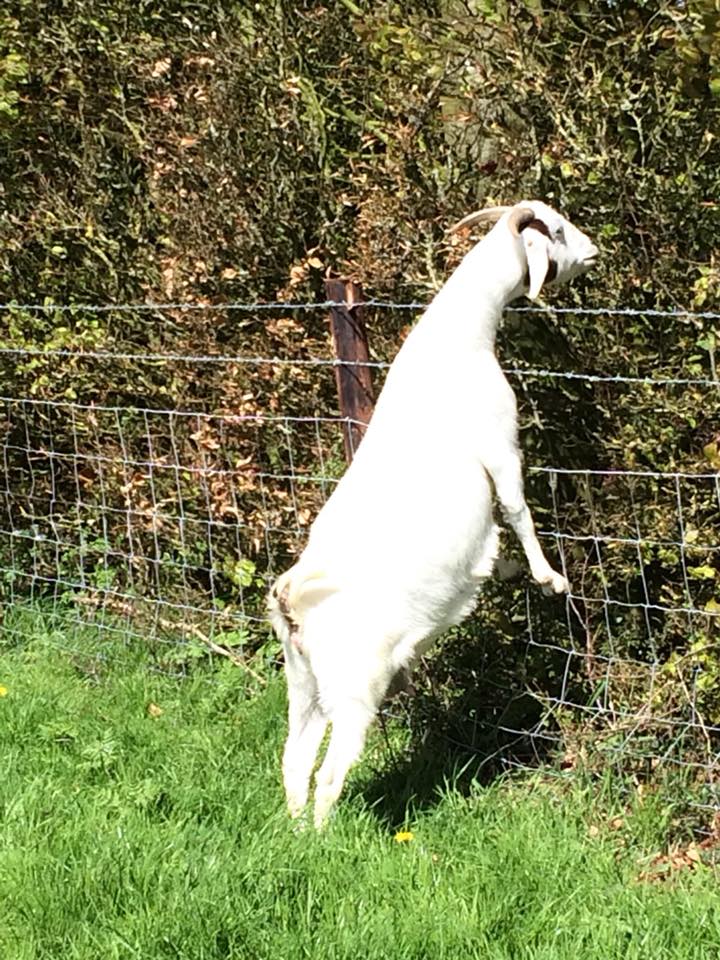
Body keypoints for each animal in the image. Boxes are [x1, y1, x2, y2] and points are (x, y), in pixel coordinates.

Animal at [268, 201, 600, 824]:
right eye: (556, 229)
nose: (593, 252)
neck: (458, 339)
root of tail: (291, 598)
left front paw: (508, 572)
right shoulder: (501, 441)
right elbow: (517, 508)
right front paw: (550, 578)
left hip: (305, 683)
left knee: (294, 761)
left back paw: (294, 833)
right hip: (354, 686)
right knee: (329, 773)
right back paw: (326, 840)